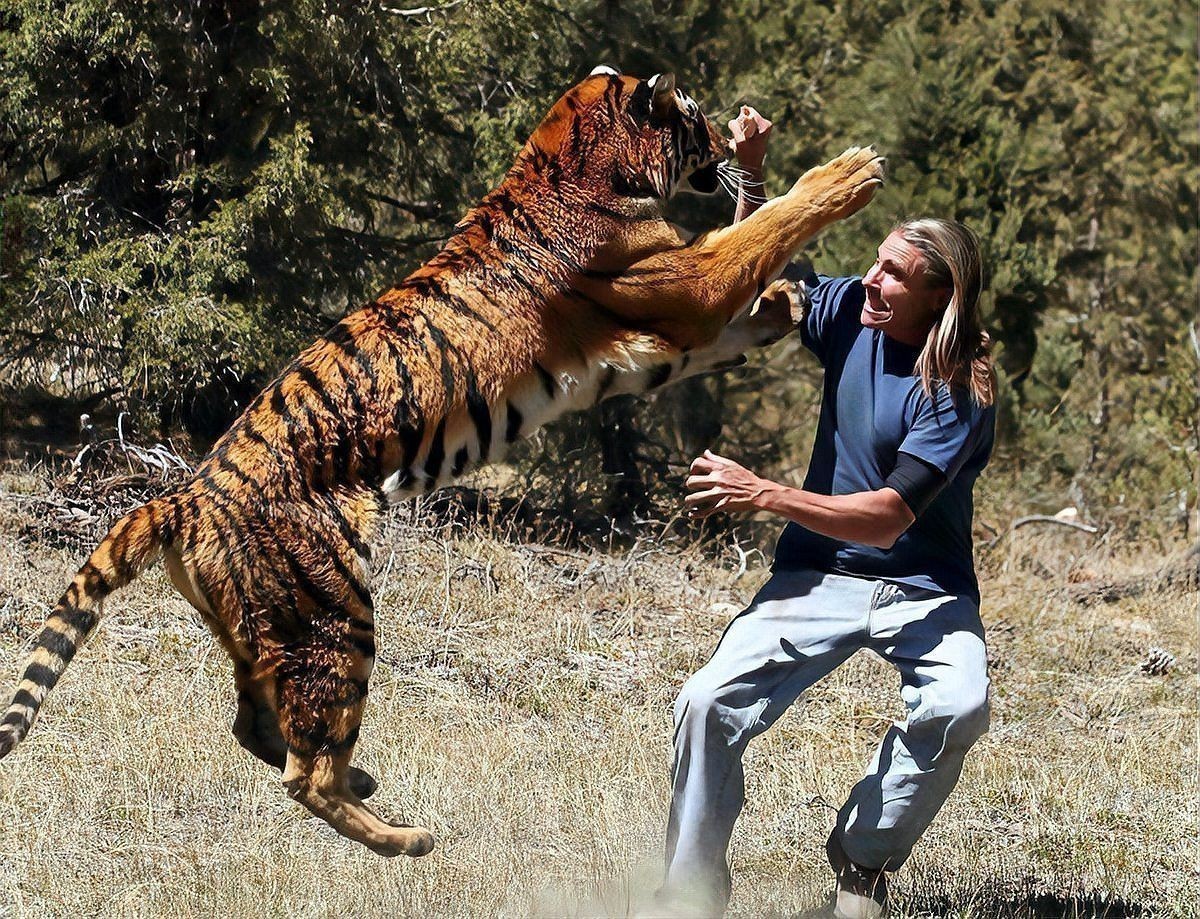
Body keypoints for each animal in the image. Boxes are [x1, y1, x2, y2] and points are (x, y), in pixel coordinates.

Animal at [0, 67, 883, 857]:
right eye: (695, 117)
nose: (726, 141)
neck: (570, 157)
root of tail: (184, 495)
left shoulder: (675, 329)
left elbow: (749, 293)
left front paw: (788, 300)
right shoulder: (684, 284)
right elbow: (758, 233)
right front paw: (849, 174)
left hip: (262, 626)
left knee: (256, 726)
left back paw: (366, 784)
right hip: (336, 612)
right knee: (302, 770)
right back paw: (406, 837)